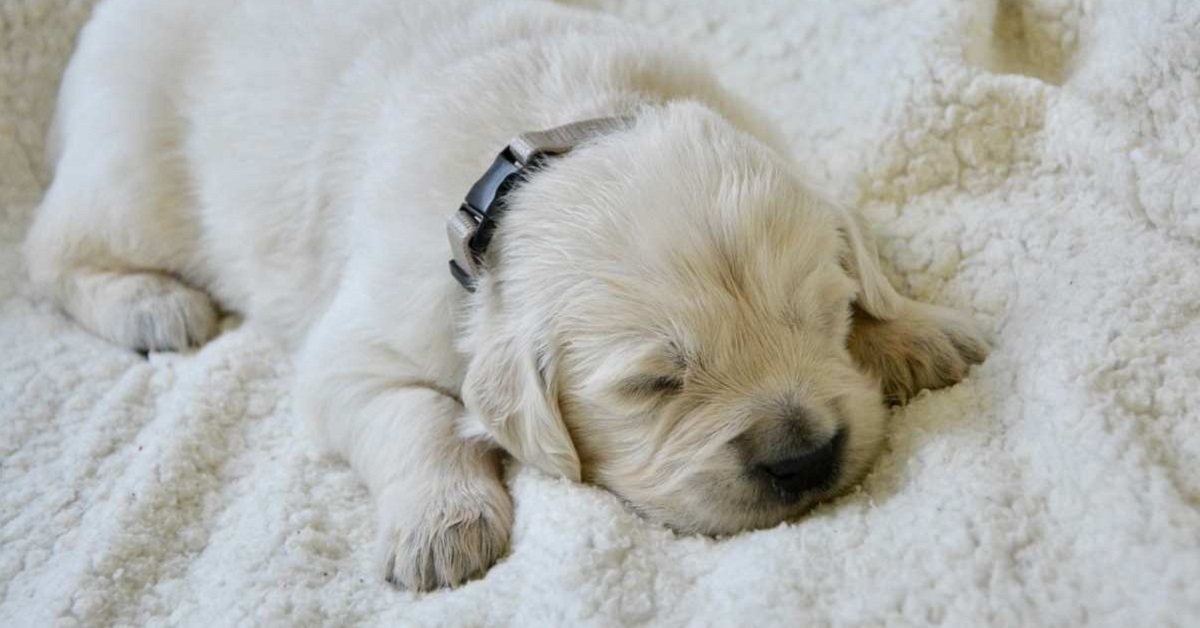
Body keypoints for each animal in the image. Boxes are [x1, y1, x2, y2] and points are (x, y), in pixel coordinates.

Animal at [23, 0, 988, 593]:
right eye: (652, 385)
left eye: (821, 316)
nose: (806, 459)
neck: (547, 145)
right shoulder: (361, 349)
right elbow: (420, 414)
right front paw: (442, 525)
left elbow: (863, 257)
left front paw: (914, 330)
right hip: (133, 171)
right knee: (50, 249)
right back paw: (151, 305)